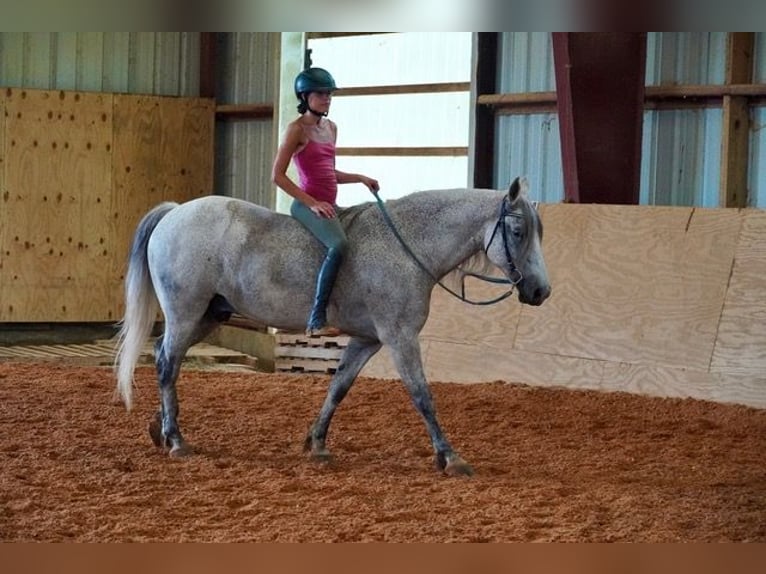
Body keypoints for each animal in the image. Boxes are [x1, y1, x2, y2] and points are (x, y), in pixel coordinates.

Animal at [114, 177, 551, 476]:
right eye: (517, 232)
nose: (540, 290)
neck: (407, 246)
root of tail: (174, 212)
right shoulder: (400, 338)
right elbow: (422, 396)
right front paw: (450, 456)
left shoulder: (367, 340)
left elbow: (338, 388)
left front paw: (317, 443)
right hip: (185, 313)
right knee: (167, 365)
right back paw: (175, 439)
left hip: (206, 316)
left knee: (167, 361)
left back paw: (161, 427)